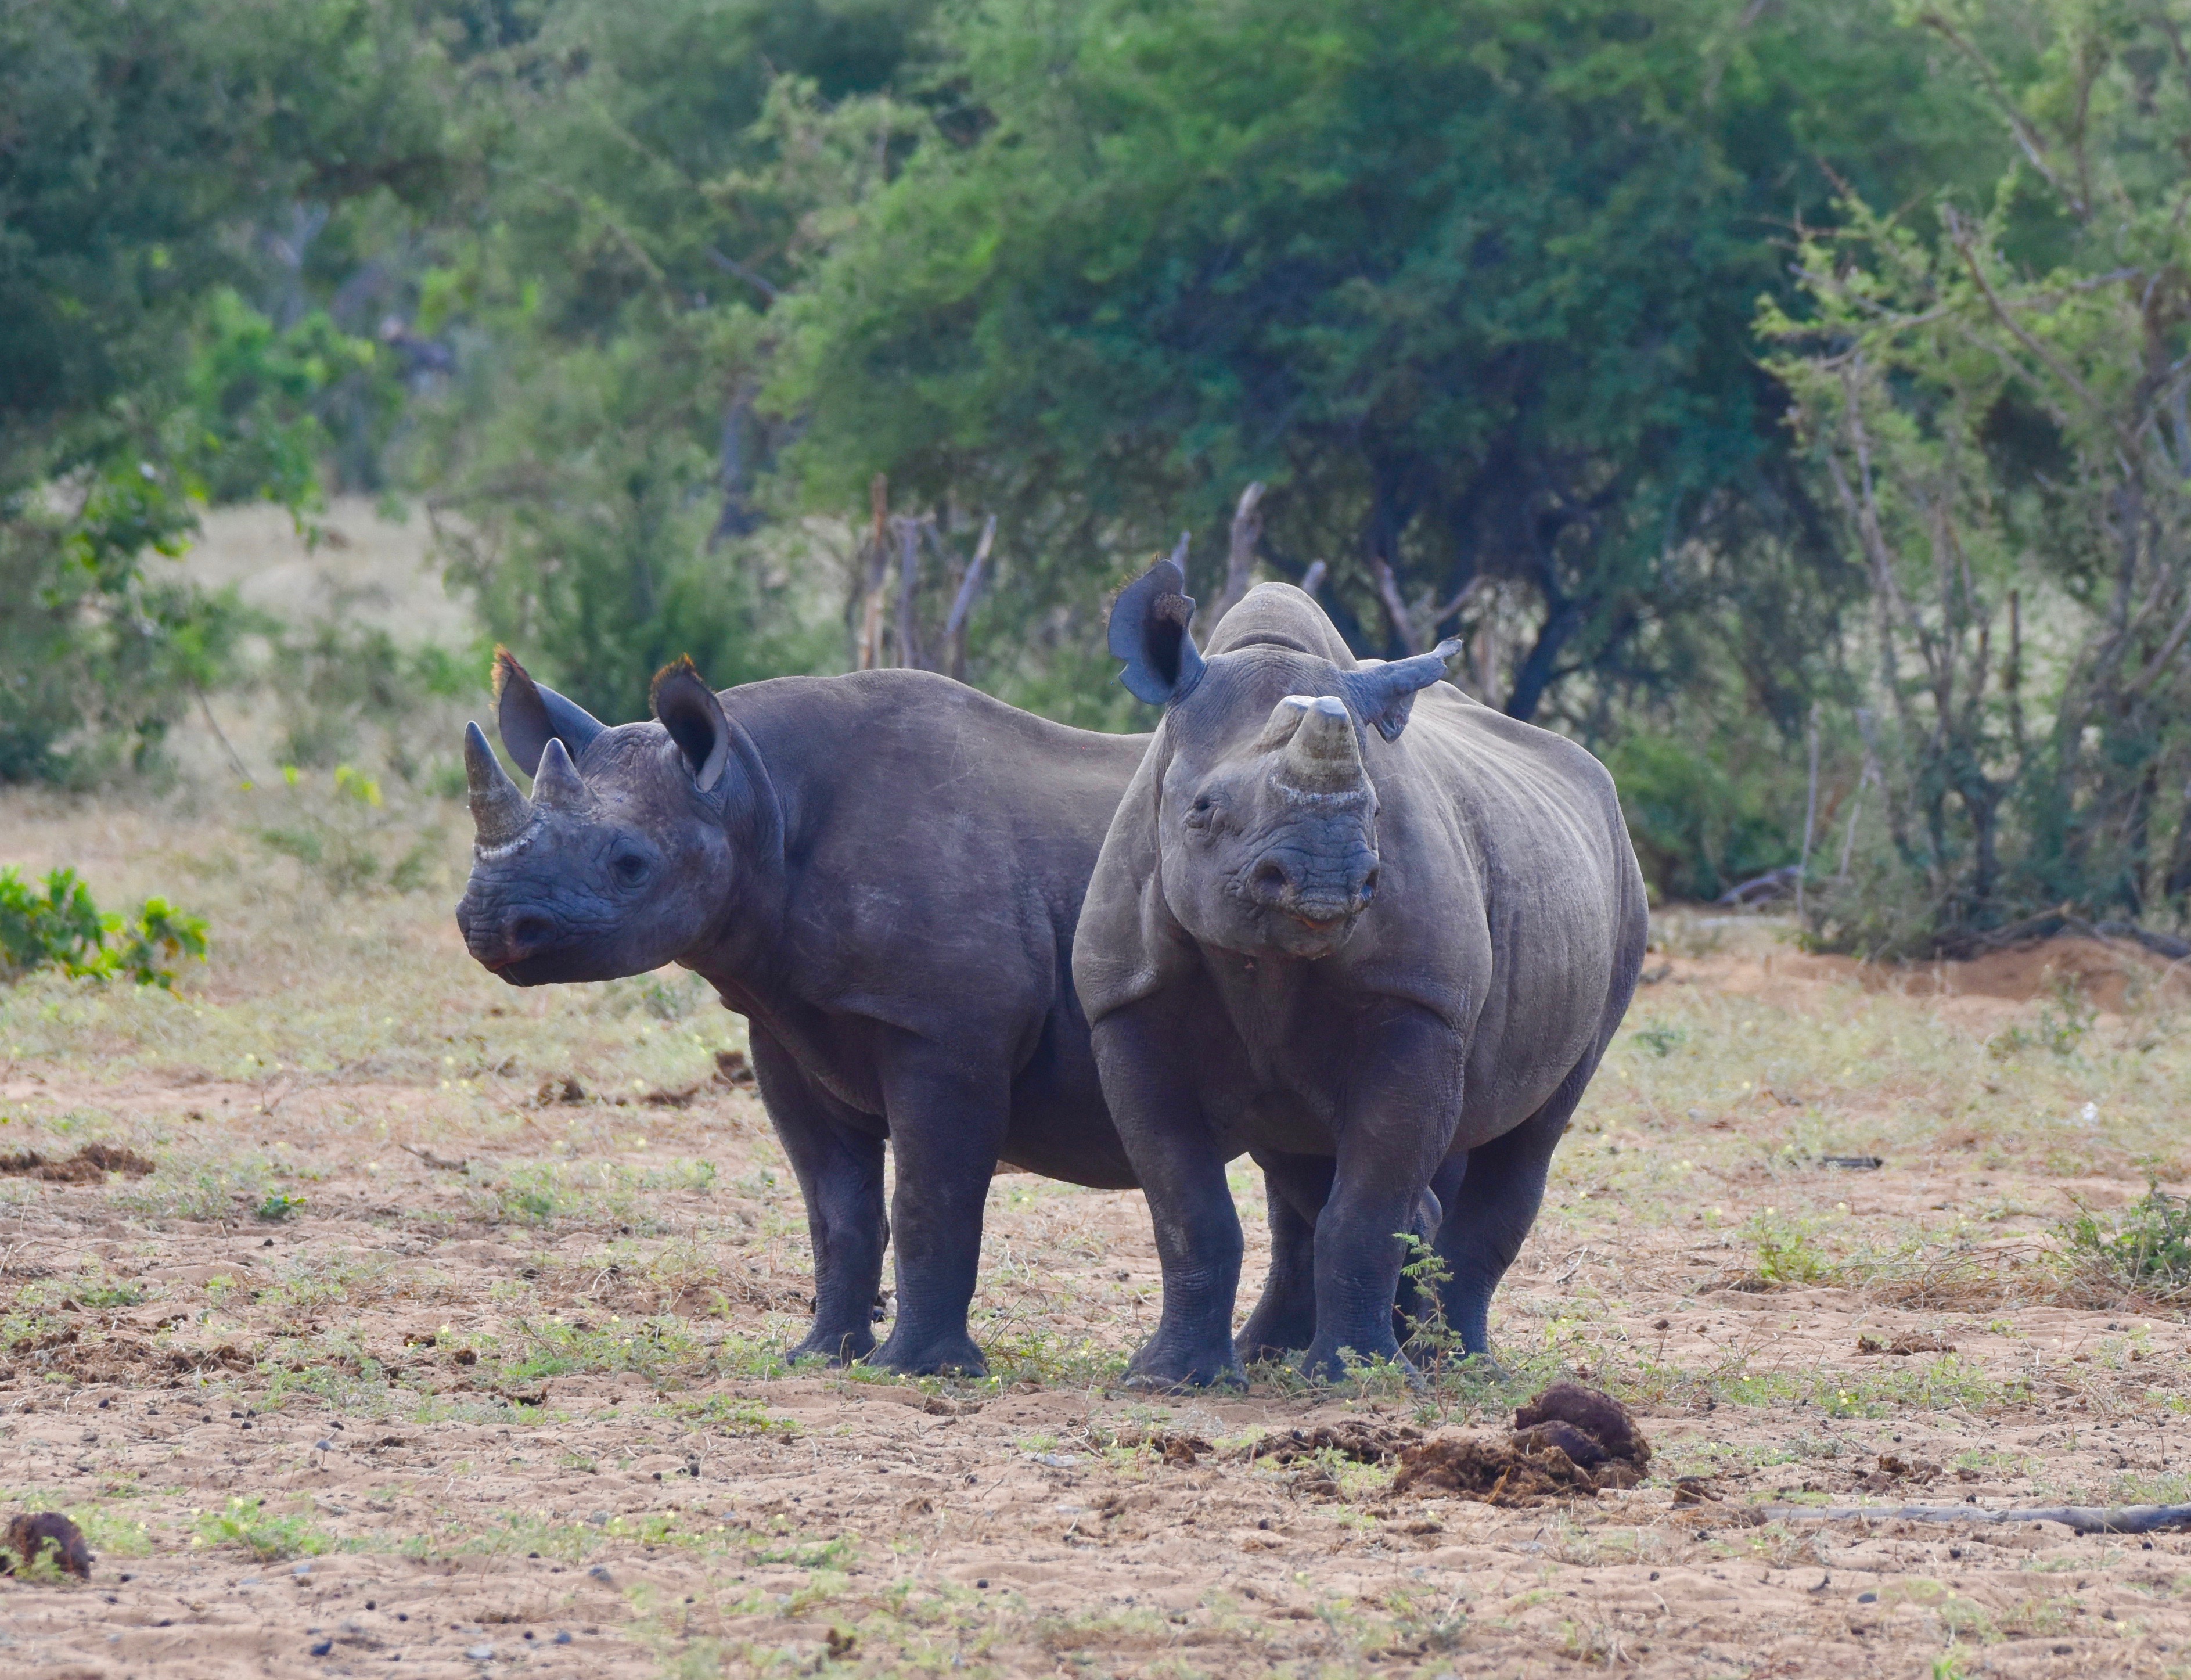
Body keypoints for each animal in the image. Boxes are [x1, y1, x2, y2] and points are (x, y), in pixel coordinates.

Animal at [1078, 569, 1647, 1393]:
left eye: (1377, 809)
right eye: (1202, 810)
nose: (1326, 878)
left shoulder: (1420, 1002)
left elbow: (1368, 1206)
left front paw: (1356, 1379)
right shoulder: (1125, 1002)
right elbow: (1185, 1208)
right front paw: (1170, 1380)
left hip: (1624, 891)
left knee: (1531, 1132)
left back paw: (1454, 1367)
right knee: (1301, 1165)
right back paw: (1279, 1354)